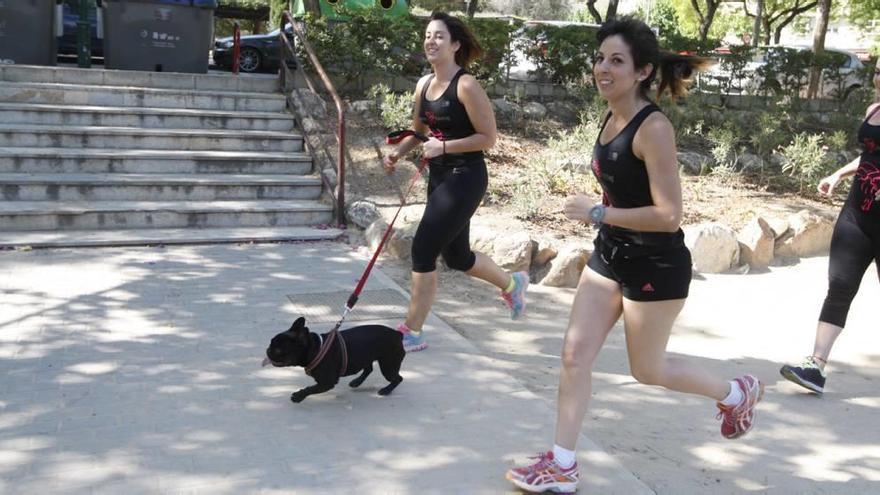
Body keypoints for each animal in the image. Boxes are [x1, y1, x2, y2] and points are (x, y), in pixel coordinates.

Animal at [262, 318, 406, 404]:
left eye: (278, 350)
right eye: (271, 343)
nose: (268, 350)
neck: (316, 349)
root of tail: (398, 334)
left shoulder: (327, 383)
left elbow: (310, 389)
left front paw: (298, 396)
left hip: (388, 365)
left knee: (398, 378)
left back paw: (386, 390)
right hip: (367, 357)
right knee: (368, 369)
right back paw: (356, 382)